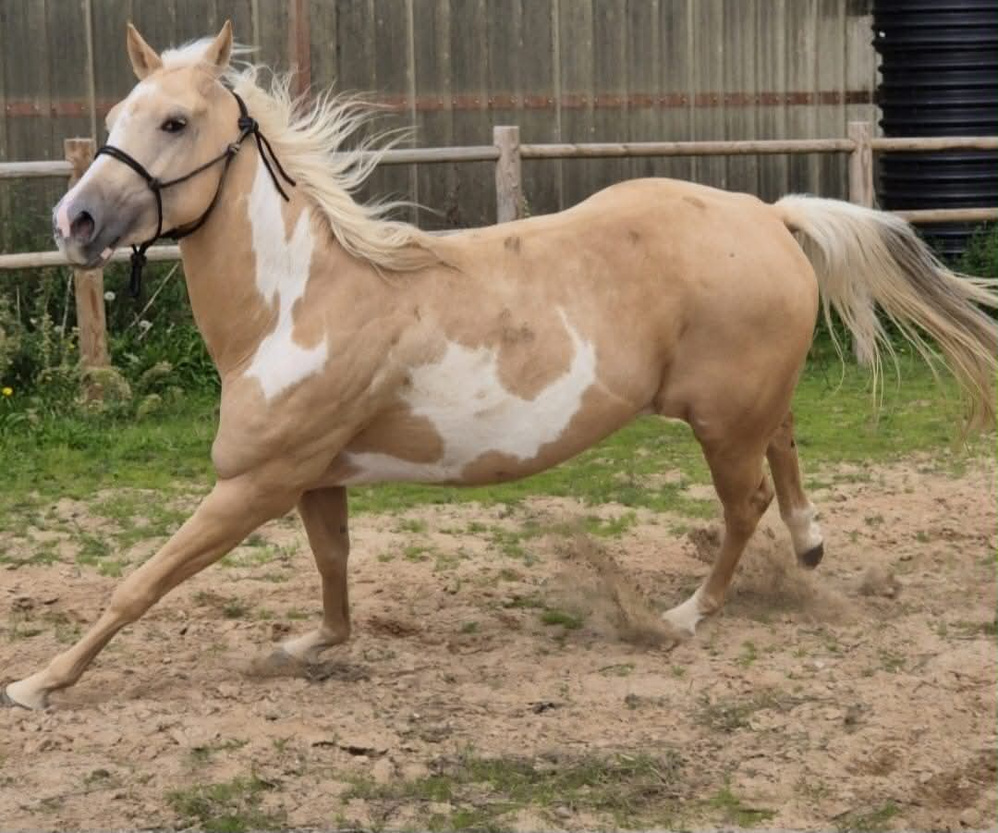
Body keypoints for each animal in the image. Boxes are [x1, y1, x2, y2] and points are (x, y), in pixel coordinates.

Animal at [6, 22, 996, 710]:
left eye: (174, 120)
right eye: (115, 119)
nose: (74, 223)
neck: (300, 302)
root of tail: (768, 214)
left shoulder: (255, 483)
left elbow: (139, 583)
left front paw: (38, 683)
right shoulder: (314, 478)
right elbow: (334, 580)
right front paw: (301, 648)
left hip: (718, 421)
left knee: (743, 501)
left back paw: (685, 615)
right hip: (740, 403)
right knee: (785, 445)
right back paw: (811, 541)